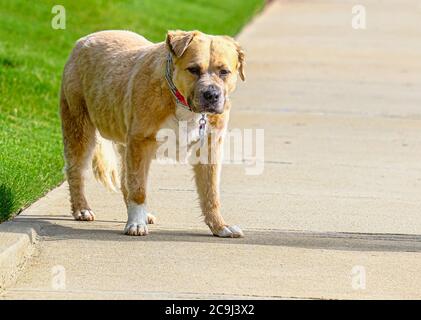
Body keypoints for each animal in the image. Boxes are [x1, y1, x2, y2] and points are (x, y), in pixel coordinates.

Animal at [58, 30, 243, 238]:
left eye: (224, 72)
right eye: (194, 69)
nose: (211, 95)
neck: (180, 102)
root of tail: (84, 39)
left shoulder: (209, 148)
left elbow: (211, 193)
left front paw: (220, 226)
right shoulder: (141, 142)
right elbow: (139, 189)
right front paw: (136, 224)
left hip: (123, 140)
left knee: (125, 180)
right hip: (79, 127)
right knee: (76, 170)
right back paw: (82, 209)